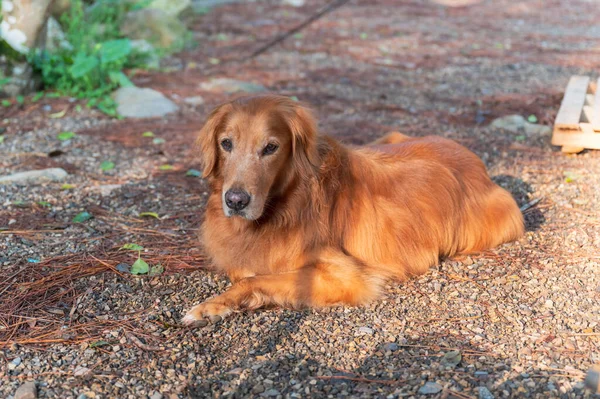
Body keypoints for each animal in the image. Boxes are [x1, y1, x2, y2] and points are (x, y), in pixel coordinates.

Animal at [180, 95, 524, 326]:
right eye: (226, 144)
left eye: (271, 147)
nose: (235, 201)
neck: (286, 203)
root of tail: (478, 163)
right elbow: (246, 270)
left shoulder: (346, 276)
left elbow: (253, 278)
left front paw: (212, 306)